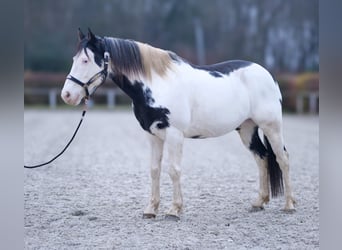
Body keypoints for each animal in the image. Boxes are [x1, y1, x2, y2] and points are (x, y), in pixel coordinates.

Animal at [62, 28, 296, 221]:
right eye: (74, 58)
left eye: (86, 60)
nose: (67, 95)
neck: (156, 83)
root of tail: (267, 74)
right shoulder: (152, 135)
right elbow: (154, 170)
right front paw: (151, 209)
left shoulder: (174, 134)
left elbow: (173, 170)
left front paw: (174, 210)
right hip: (247, 129)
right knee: (262, 158)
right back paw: (259, 202)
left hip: (272, 127)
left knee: (282, 159)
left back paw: (289, 205)